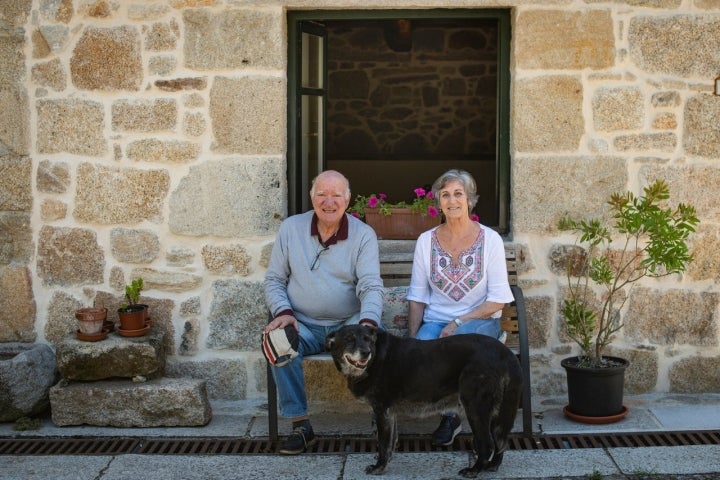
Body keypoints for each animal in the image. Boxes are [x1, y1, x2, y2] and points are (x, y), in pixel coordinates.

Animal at [326, 324, 524, 478]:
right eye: (349, 339)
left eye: (368, 340)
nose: (366, 352)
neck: (374, 360)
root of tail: (505, 352)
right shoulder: (390, 413)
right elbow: (391, 442)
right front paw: (385, 462)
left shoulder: (382, 411)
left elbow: (383, 443)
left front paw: (379, 467)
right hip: (497, 411)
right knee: (501, 441)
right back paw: (493, 466)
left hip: (476, 408)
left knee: (487, 444)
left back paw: (474, 470)